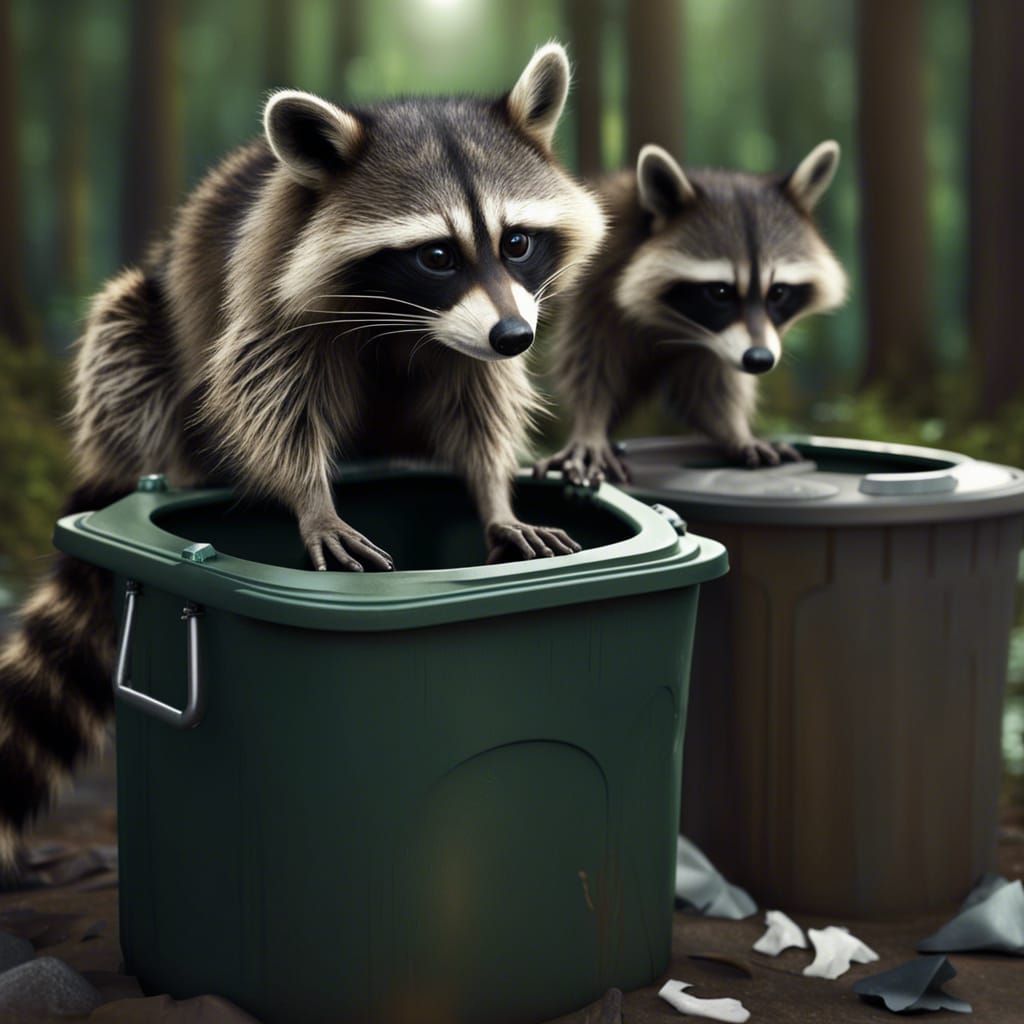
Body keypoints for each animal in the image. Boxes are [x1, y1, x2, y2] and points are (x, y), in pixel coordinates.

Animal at [0, 44, 606, 861]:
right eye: (437, 255)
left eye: (517, 241)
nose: (515, 336)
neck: (406, 316)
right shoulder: (269, 285)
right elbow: (264, 393)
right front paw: (312, 499)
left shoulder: (480, 334)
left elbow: (478, 402)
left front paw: (494, 493)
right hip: (142, 331)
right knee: (123, 335)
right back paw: (168, 472)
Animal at [535, 142, 847, 484]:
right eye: (720, 292)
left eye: (778, 292)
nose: (760, 360)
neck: (678, 325)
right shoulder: (594, 286)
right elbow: (591, 362)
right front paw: (589, 426)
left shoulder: (719, 343)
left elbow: (710, 389)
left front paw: (735, 431)